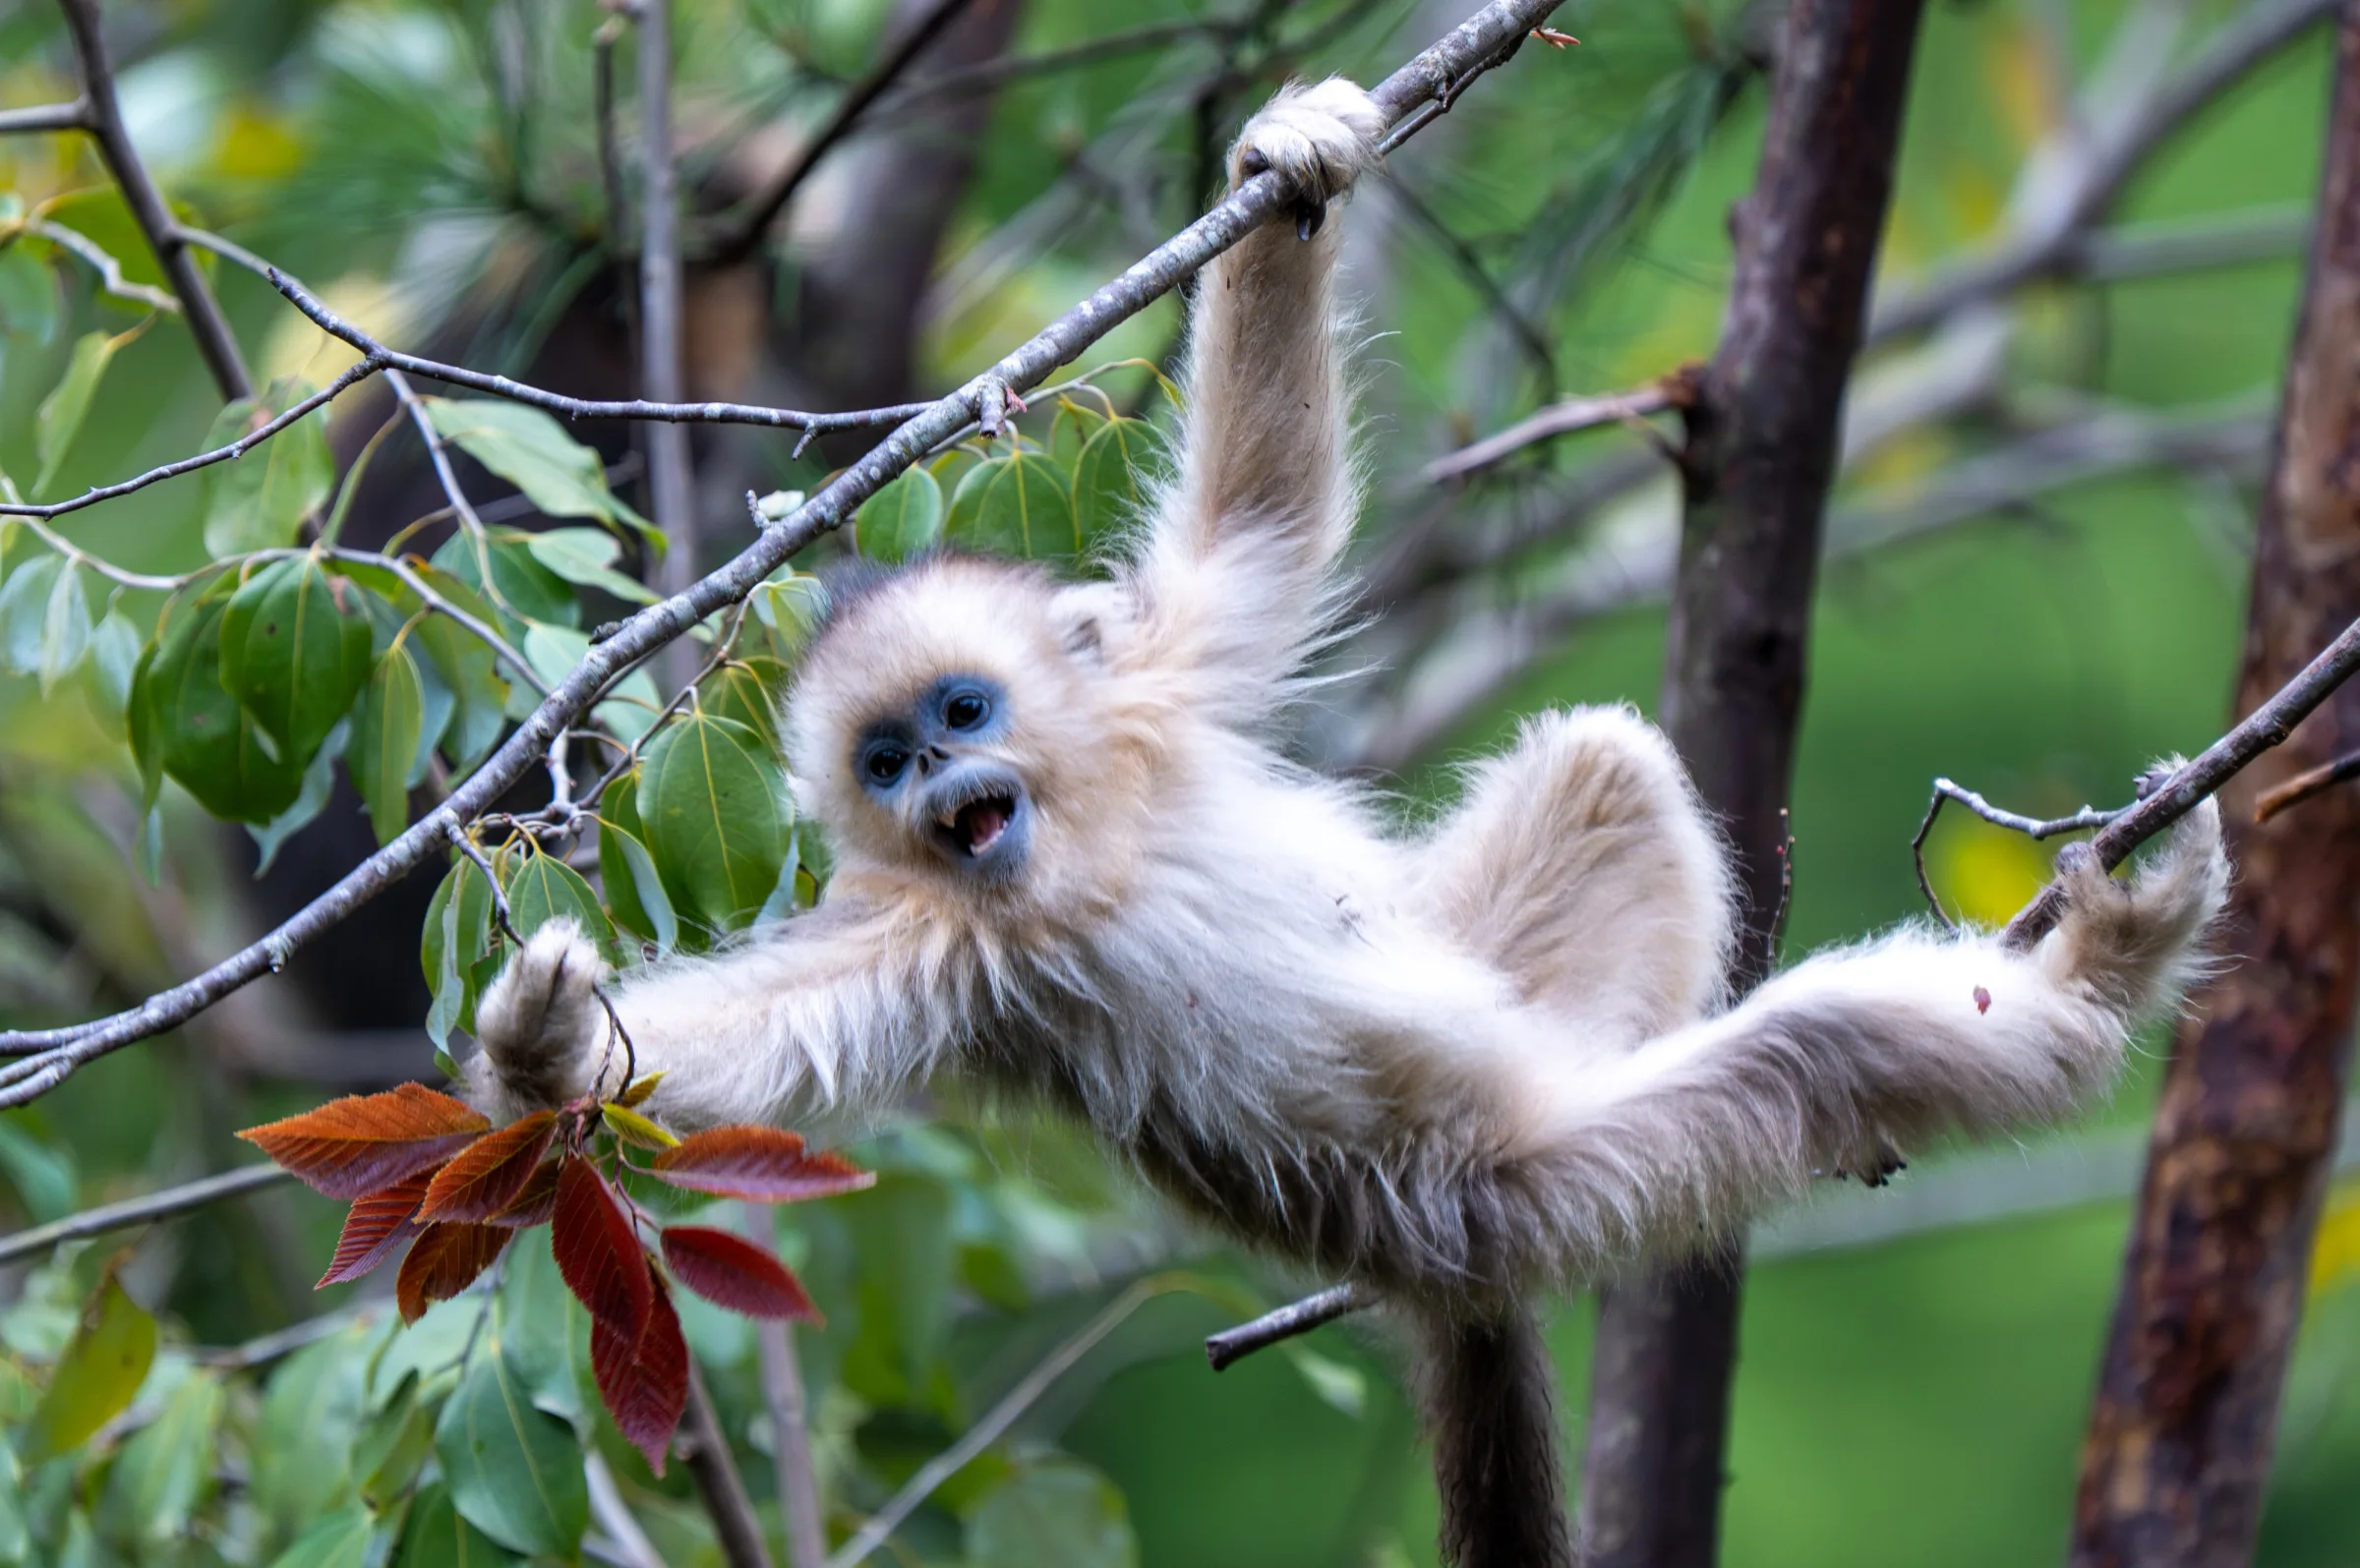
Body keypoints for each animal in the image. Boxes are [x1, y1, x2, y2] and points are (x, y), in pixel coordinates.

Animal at [465, 79, 2231, 1565]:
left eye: (959, 717)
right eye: (884, 762)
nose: (942, 792)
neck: (1094, 847)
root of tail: (1441, 1283)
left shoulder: (1158, 688)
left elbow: (1261, 524)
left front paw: (1290, 162)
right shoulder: (937, 949)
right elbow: (745, 1049)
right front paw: (543, 1048)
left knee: (1605, 761)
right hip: (1514, 1187)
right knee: (1816, 1054)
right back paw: (2102, 975)